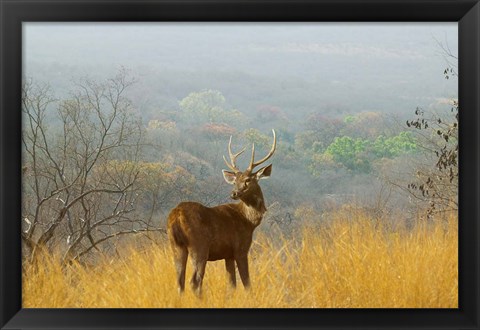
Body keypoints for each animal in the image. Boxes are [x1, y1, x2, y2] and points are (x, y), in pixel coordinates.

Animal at [167, 129, 276, 294]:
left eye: (247, 180)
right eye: (236, 181)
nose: (234, 193)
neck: (248, 221)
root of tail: (177, 216)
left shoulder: (227, 254)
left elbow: (231, 285)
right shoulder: (240, 248)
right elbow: (246, 283)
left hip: (176, 246)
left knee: (180, 282)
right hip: (199, 245)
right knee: (195, 281)